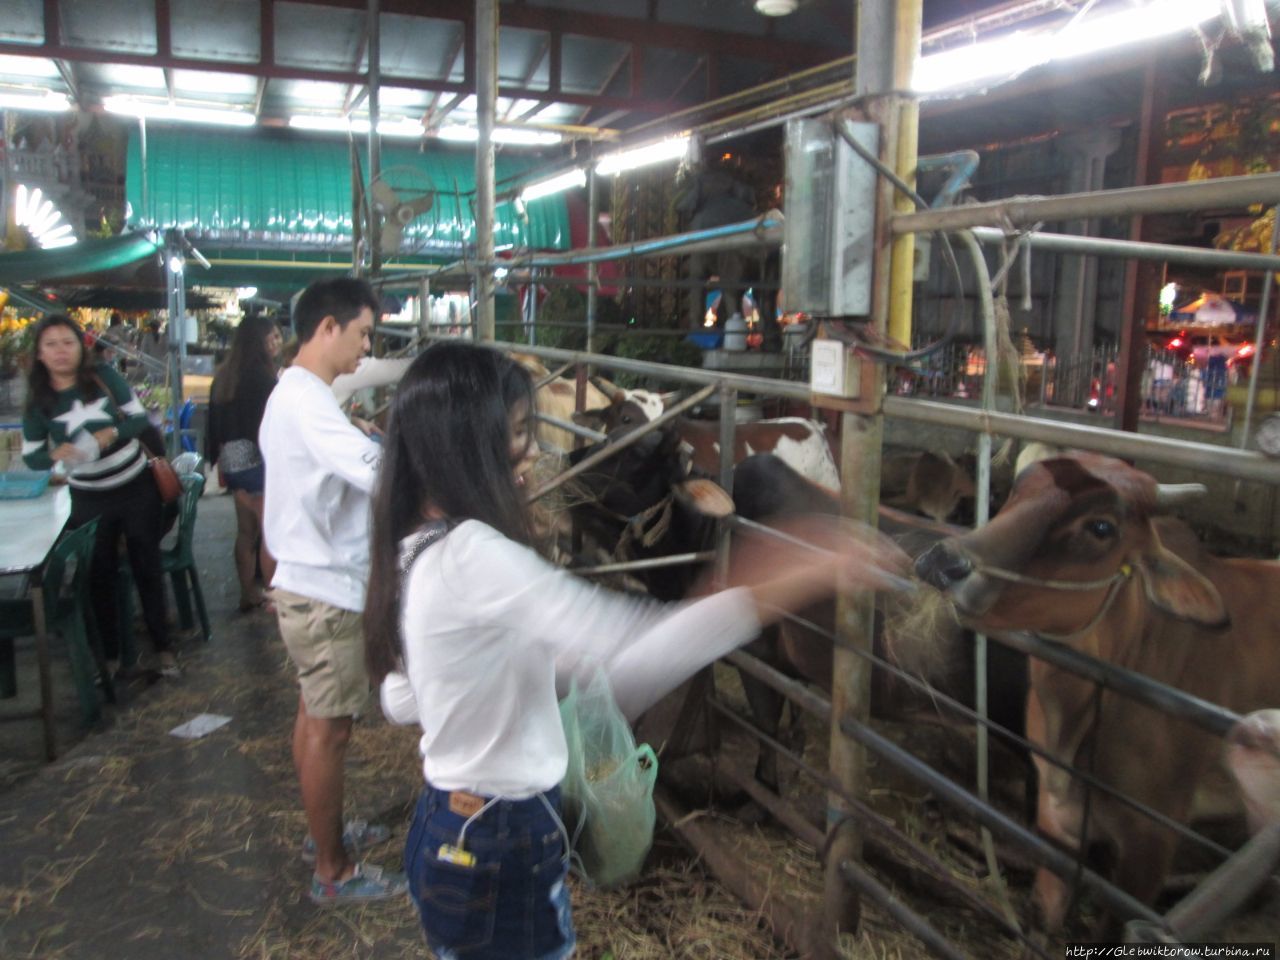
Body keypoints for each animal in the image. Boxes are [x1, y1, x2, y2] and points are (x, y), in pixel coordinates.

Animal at [911, 455, 1280, 931]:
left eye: (1101, 527)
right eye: (1017, 489)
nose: (942, 561)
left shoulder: (1152, 841)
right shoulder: (1054, 811)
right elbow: (1046, 913)